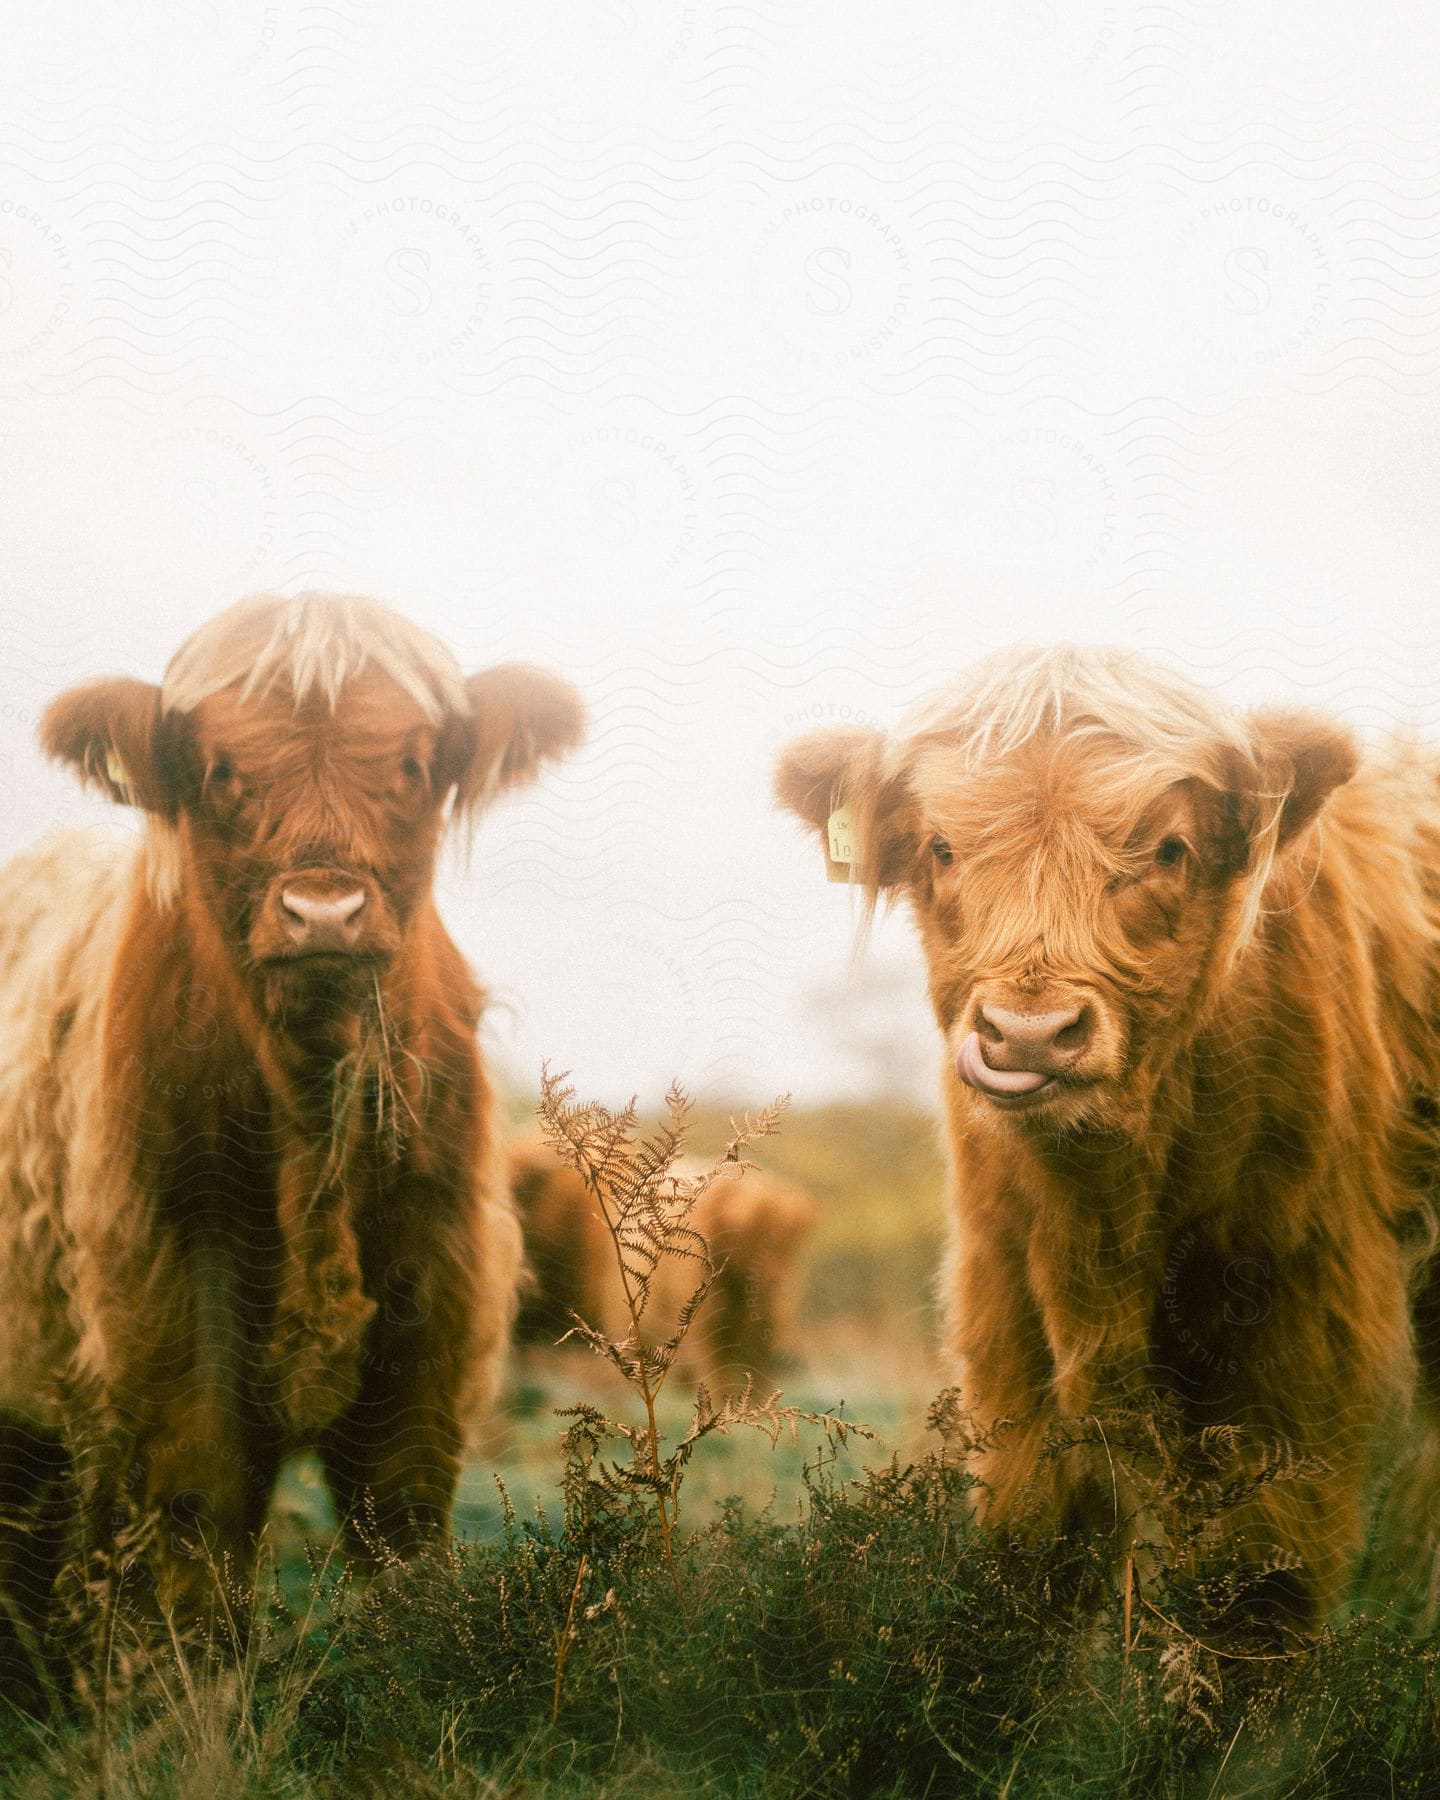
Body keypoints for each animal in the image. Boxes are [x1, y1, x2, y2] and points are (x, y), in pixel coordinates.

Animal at [1, 590, 583, 1634]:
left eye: (413, 765)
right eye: (221, 770)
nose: (323, 912)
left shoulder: (434, 1294)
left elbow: (401, 1516)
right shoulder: (165, 1287)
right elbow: (199, 1514)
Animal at [777, 644, 1440, 1634]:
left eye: (1168, 848)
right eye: (942, 848)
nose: (1029, 1033)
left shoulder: (1301, 1333)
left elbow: (1255, 1592)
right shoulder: (1007, 1322)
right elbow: (1031, 1555)